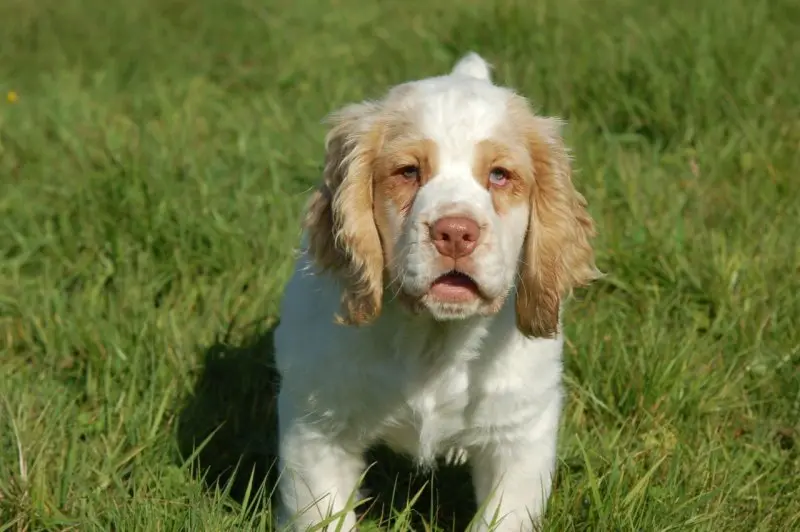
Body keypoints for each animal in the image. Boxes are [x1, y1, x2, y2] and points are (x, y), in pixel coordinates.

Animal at [272, 51, 596, 532]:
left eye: (500, 176)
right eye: (408, 172)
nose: (456, 233)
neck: (432, 339)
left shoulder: (521, 435)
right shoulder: (316, 427)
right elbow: (324, 515)